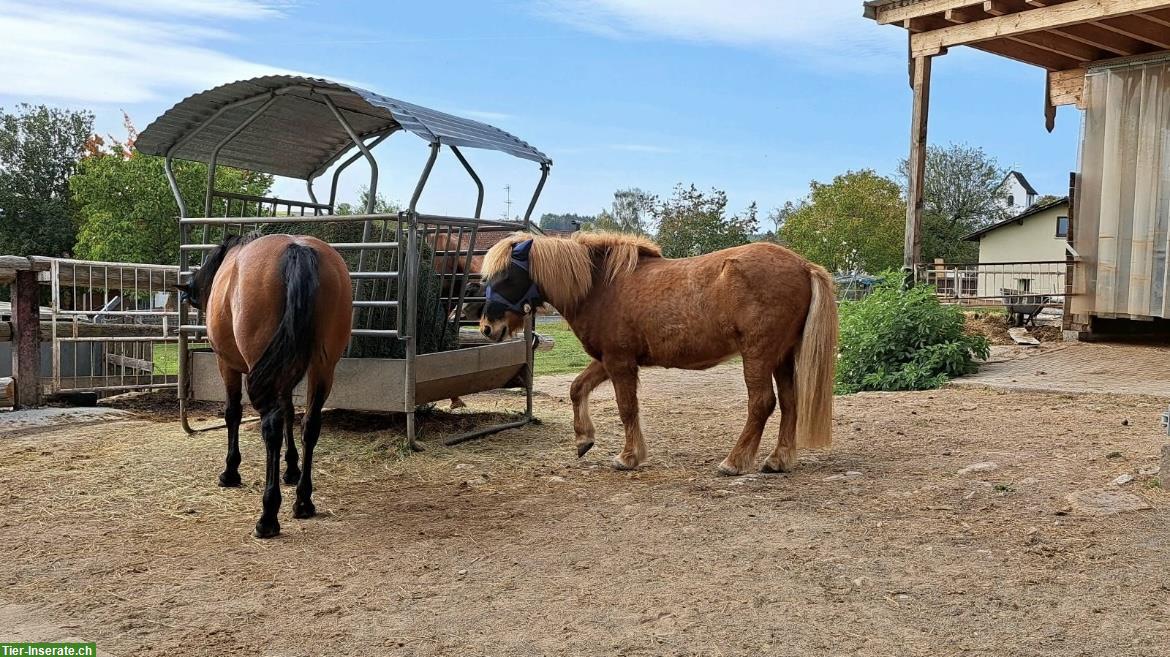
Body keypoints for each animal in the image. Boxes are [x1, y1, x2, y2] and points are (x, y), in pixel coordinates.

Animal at [177, 232, 351, 535]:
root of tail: (297, 249)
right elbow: (290, 413)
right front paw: (291, 469)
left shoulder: (227, 366)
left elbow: (232, 413)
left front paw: (230, 472)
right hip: (323, 367)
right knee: (310, 425)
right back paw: (303, 501)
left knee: (270, 426)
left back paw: (268, 515)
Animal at [479, 232, 837, 472]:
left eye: (507, 276)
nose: (486, 327)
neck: (600, 287)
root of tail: (804, 266)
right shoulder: (607, 359)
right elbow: (577, 388)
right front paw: (584, 440)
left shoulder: (620, 361)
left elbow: (627, 409)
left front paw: (628, 457)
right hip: (782, 357)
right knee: (790, 403)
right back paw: (778, 459)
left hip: (758, 354)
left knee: (762, 403)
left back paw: (734, 461)